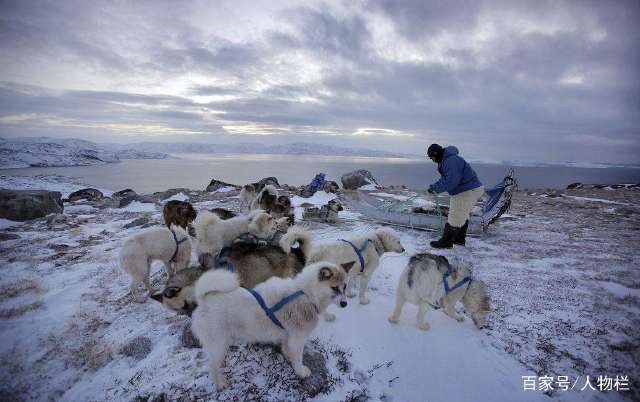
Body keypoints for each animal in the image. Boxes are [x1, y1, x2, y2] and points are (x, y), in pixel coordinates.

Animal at [192, 260, 358, 390]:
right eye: (334, 288)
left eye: (345, 286)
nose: (345, 304)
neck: (306, 294)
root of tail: (203, 300)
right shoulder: (297, 338)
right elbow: (298, 357)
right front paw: (300, 371)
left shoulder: (288, 336)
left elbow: (288, 349)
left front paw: (288, 357)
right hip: (218, 344)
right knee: (212, 367)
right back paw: (221, 383)